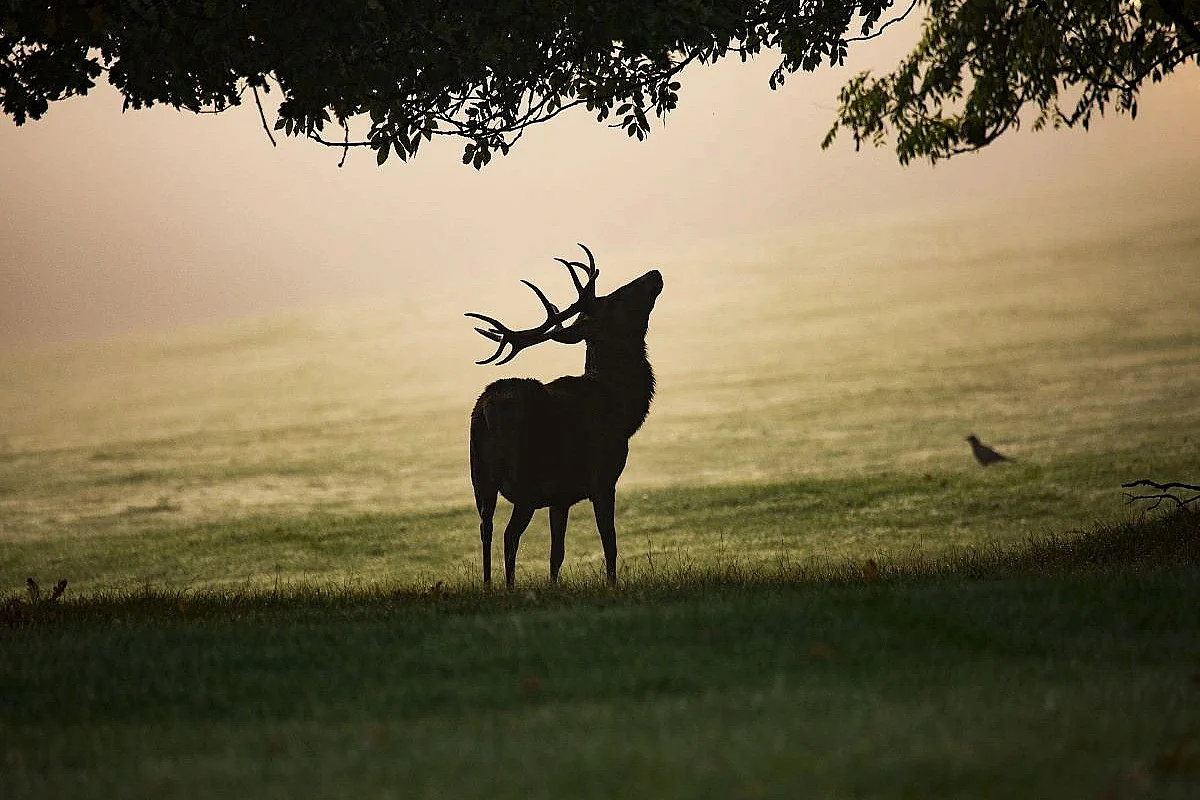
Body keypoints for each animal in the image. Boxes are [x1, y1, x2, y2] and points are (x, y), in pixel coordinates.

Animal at [466, 244, 663, 587]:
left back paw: (490, 586)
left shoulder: (560, 496)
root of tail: (488, 410)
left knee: (485, 529)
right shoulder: (603, 477)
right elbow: (610, 542)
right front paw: (611, 585)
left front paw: (554, 585)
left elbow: (556, 553)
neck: (622, 408)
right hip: (526, 478)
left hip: (480, 477)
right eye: (615, 299)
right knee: (509, 535)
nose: (654, 274)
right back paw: (509, 586)